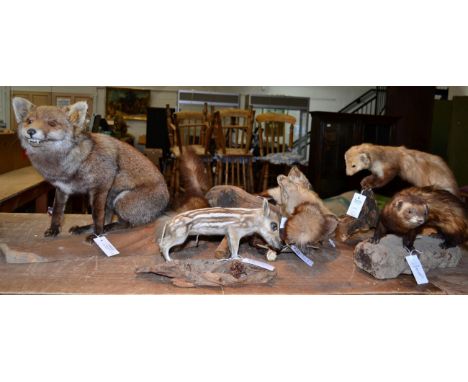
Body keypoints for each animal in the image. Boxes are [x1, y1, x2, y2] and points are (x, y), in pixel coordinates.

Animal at [11, 96, 170, 239]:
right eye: (29, 121)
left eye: (52, 123)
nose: (31, 131)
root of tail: (166, 205)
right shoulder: (63, 188)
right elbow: (57, 212)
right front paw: (54, 230)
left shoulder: (101, 186)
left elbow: (97, 215)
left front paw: (97, 236)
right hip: (109, 200)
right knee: (110, 219)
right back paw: (85, 228)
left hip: (119, 200)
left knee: (126, 223)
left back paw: (105, 230)